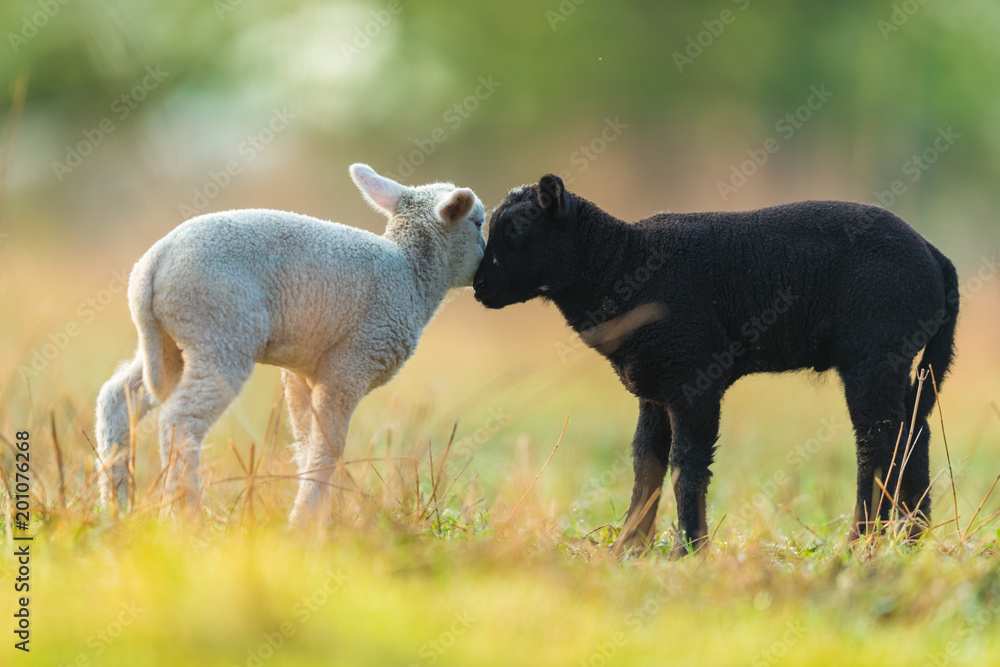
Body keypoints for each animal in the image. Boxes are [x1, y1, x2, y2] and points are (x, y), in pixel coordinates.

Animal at [95, 164, 485, 524]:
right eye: (479, 223)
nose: (485, 269)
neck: (412, 274)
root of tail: (151, 266)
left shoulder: (302, 373)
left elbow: (307, 443)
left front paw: (318, 521)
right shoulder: (351, 365)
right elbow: (330, 447)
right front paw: (304, 523)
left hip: (170, 344)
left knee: (118, 398)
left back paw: (117, 506)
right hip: (220, 333)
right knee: (180, 420)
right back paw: (184, 515)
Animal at [473, 174, 959, 556]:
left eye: (516, 228)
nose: (479, 287)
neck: (621, 263)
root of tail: (934, 254)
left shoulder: (694, 379)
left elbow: (686, 466)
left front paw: (688, 550)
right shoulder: (655, 385)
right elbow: (646, 462)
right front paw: (628, 548)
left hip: (874, 354)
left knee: (878, 443)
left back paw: (862, 543)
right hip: (904, 363)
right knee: (914, 433)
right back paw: (910, 540)